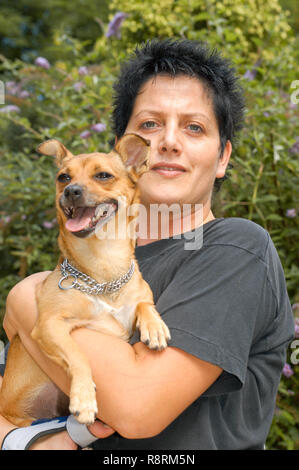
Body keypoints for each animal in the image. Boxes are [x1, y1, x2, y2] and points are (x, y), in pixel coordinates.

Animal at [0, 134, 171, 428]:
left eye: (103, 175)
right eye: (63, 177)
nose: (71, 191)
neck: (103, 269)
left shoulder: (135, 302)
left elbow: (144, 303)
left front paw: (155, 326)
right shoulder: (49, 324)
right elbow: (77, 354)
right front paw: (84, 398)